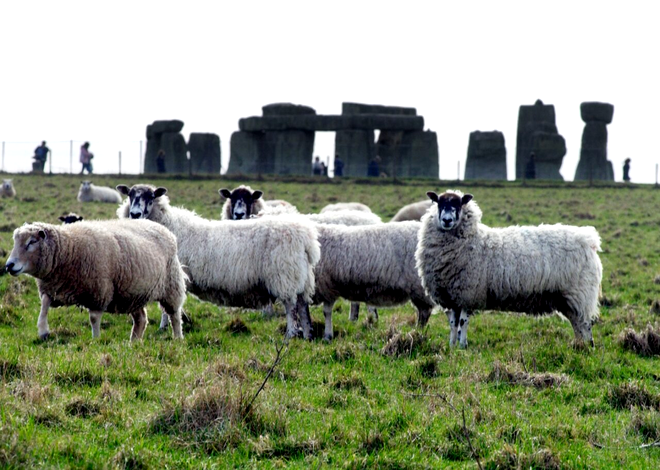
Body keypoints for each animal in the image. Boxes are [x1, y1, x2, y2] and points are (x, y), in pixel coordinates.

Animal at [5, 220, 186, 342]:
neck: (69, 249)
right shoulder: (53, 288)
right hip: (133, 294)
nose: (9, 265)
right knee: (141, 319)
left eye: (31, 242)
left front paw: (96, 339)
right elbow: (44, 305)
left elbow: (93, 318)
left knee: (174, 314)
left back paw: (178, 338)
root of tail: (164, 229)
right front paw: (43, 331)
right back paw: (133, 342)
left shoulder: (99, 291)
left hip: (171, 285)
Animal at [116, 182, 322, 340]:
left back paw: (290, 334)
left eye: (151, 197)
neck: (169, 225)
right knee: (303, 306)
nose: (135, 214)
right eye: (130, 195)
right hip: (301, 277)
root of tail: (307, 237)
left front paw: (164, 327)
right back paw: (307, 336)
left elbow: (168, 307)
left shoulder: (171, 276)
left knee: (291, 307)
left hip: (285, 276)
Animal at [294, 222, 434, 340]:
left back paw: (417, 331)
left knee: (424, 312)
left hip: (419, 286)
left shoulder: (326, 286)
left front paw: (325, 335)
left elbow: (323, 312)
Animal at [418, 189, 604, 346]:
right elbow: (453, 323)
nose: (447, 220)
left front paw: (462, 346)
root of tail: (589, 240)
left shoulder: (468, 293)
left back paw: (588, 347)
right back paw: (579, 346)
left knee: (585, 324)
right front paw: (452, 346)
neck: (471, 240)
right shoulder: (452, 296)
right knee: (577, 324)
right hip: (566, 298)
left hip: (580, 293)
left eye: (458, 205)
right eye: (439, 203)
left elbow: (463, 322)